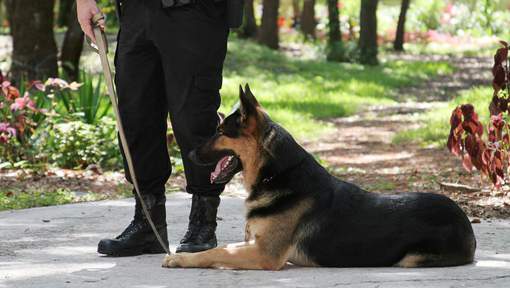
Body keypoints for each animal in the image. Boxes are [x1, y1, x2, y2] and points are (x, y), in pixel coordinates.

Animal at [161, 84, 476, 268]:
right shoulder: (256, 245)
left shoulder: (265, 254)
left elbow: (218, 252)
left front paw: (179, 258)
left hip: (411, 258)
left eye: (220, 132)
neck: (277, 176)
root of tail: (466, 221)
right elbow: (224, 248)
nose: (190, 154)